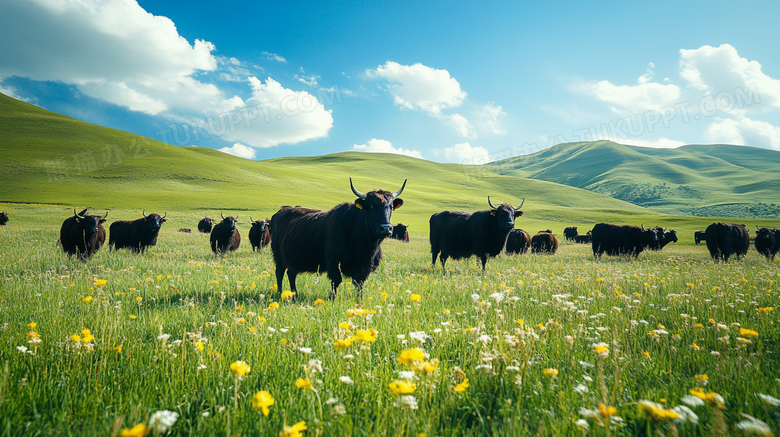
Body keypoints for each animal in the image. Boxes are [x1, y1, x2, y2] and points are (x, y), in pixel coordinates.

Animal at [272, 177, 408, 300]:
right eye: (372, 206)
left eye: (391, 207)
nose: (386, 228)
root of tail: (280, 211)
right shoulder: (333, 263)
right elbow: (336, 282)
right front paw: (332, 300)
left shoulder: (365, 267)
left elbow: (360, 285)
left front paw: (359, 302)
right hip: (278, 257)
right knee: (280, 273)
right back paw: (280, 294)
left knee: (291, 273)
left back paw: (294, 295)